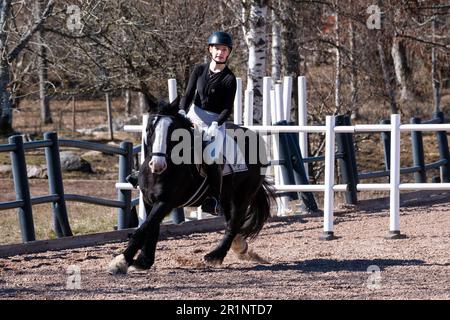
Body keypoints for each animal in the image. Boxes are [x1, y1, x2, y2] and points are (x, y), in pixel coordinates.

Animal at [108, 98, 274, 276]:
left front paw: (120, 261)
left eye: (172, 130)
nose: (157, 164)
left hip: (242, 196)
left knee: (234, 223)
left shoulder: (165, 202)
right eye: (149, 129)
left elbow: (144, 229)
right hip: (226, 196)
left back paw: (215, 256)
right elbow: (151, 228)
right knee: (231, 221)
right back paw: (238, 245)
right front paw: (144, 261)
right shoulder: (149, 200)